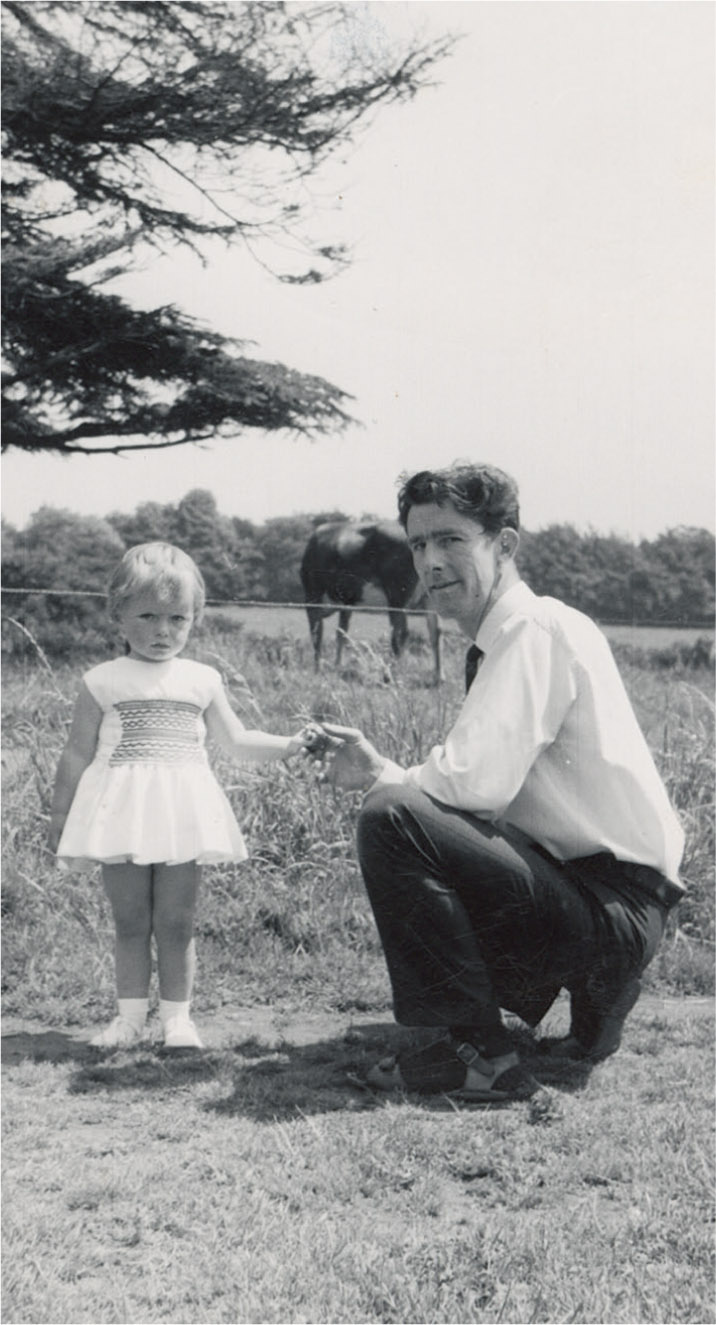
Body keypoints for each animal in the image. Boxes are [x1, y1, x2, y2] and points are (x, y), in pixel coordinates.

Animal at [298, 516, 442, 683]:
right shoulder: (347, 602)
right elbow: (341, 633)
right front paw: (337, 667)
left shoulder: (312, 597)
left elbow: (317, 634)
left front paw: (317, 671)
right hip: (429, 597)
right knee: (435, 632)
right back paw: (438, 677)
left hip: (397, 595)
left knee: (401, 633)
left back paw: (394, 675)